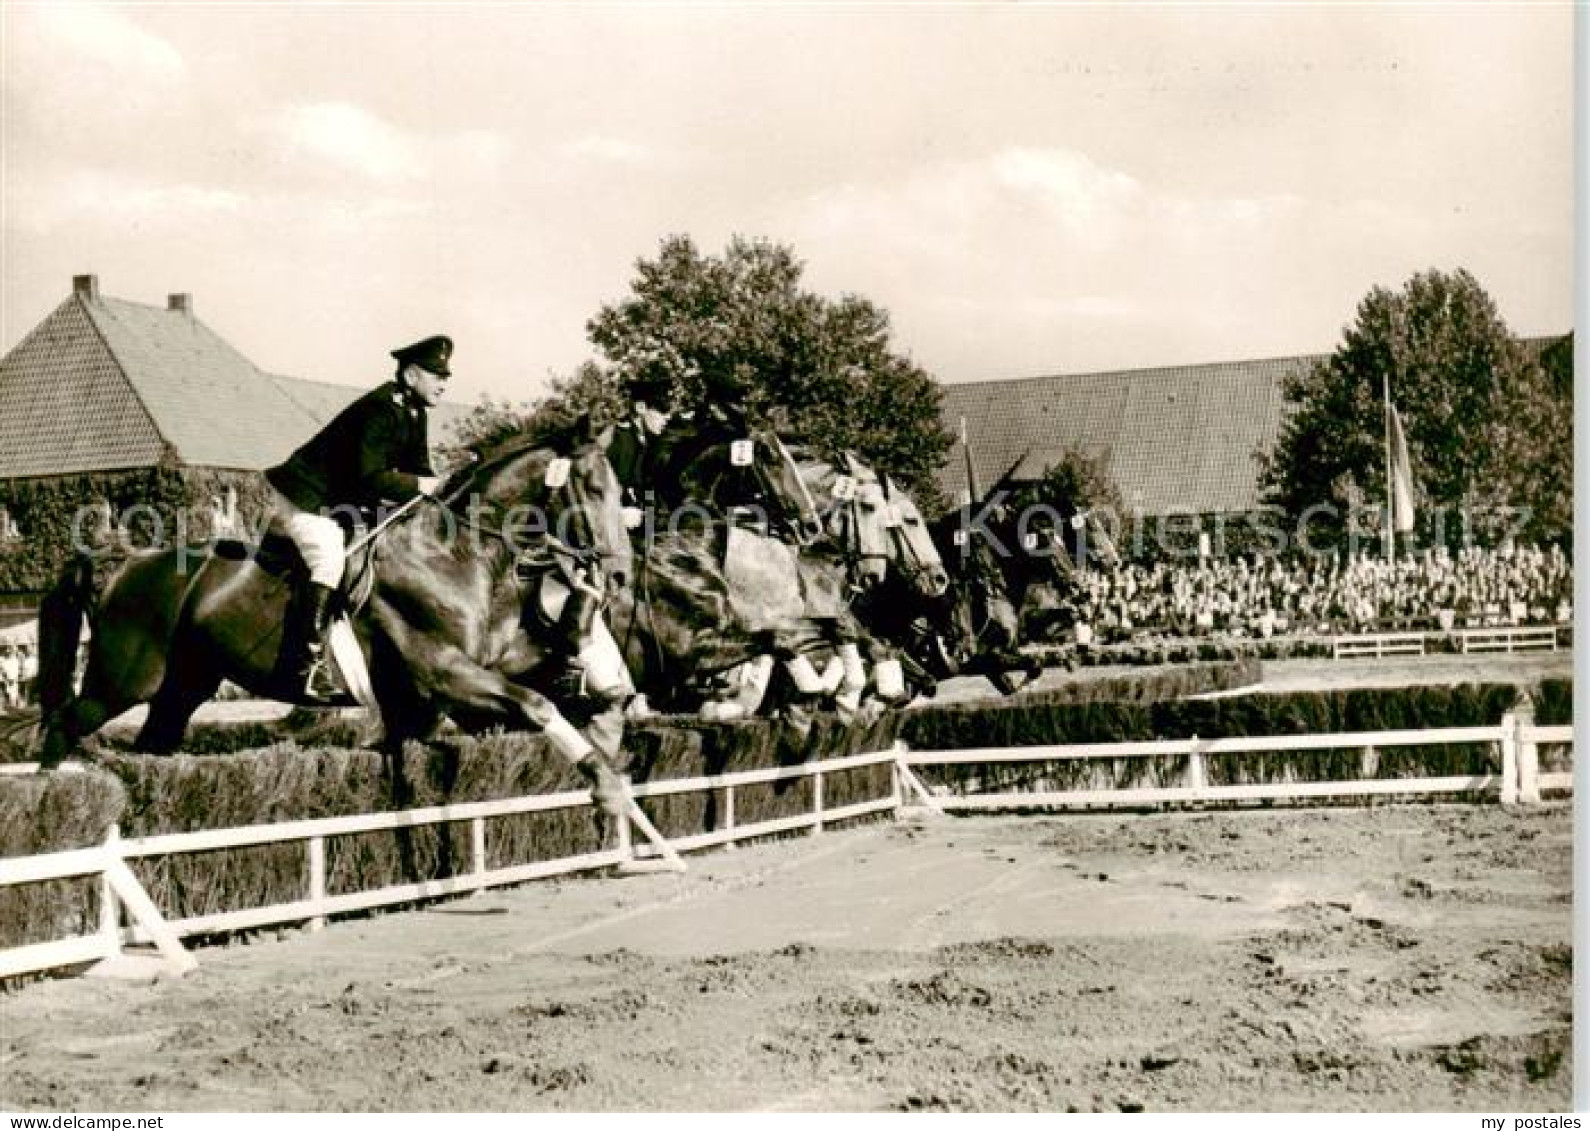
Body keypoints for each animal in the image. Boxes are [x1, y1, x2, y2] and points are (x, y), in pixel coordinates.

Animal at [34, 432, 636, 814]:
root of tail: (123, 564)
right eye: (594, 489)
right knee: (62, 725)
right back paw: (52, 806)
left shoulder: (472, 674)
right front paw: (607, 788)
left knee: (150, 747)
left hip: (184, 685)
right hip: (123, 680)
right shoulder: (446, 673)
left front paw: (607, 724)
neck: (457, 553)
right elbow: (536, 705)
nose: (620, 574)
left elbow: (540, 687)